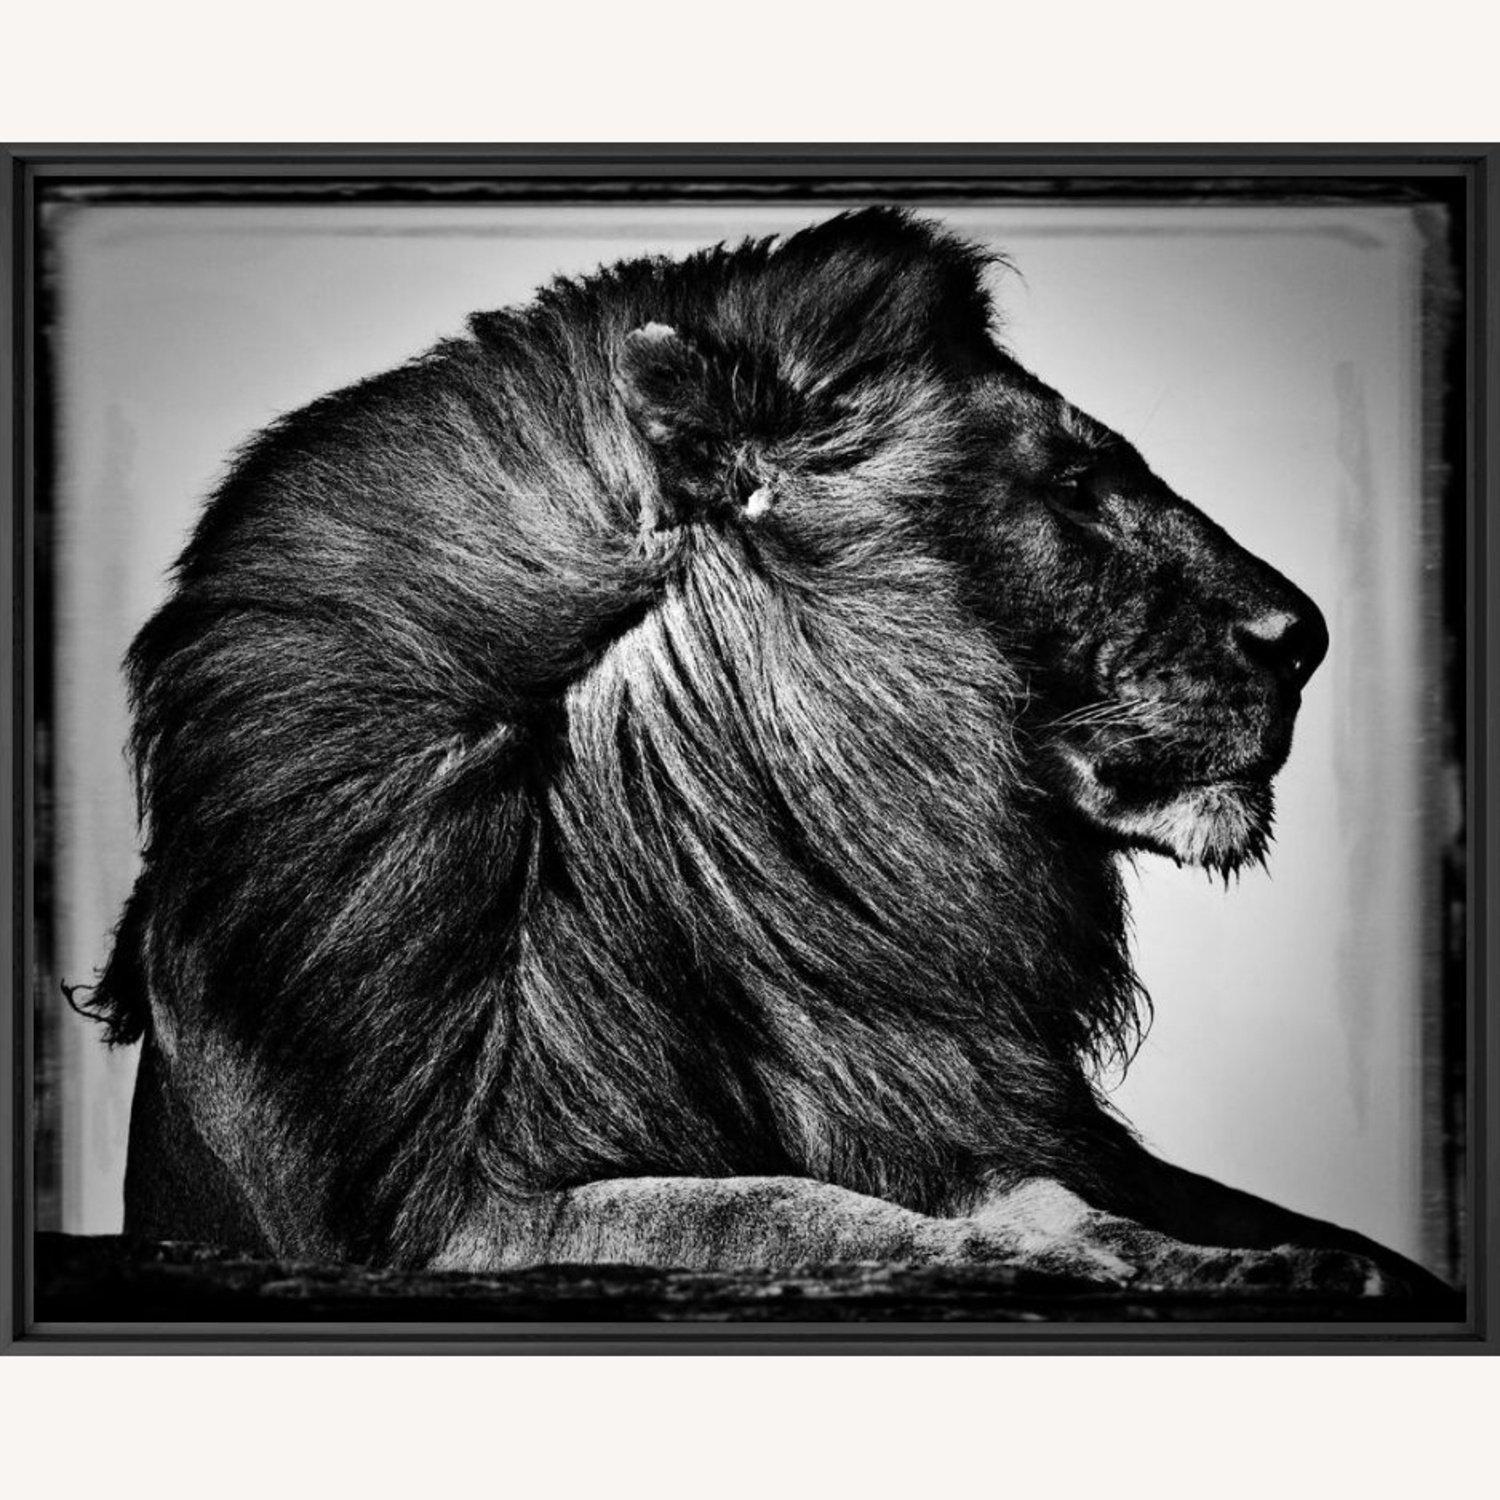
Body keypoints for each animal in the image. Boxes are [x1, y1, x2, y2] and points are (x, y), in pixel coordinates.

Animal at [87, 207, 1444, 1299]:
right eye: (1069, 481)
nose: (1306, 635)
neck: (769, 890)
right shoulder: (455, 1227)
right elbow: (805, 1214)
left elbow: (1042, 1194)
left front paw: (1265, 1255)